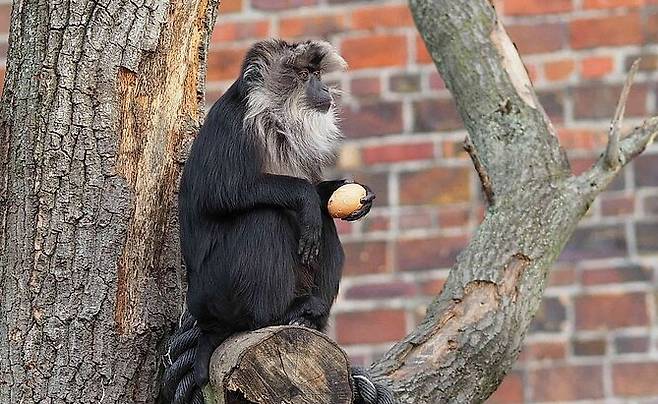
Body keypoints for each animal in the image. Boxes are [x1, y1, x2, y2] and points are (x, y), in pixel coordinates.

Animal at [177, 38, 374, 388]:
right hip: (214, 295)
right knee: (264, 218)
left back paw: (310, 313)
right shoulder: (233, 125)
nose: (324, 88)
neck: (274, 120)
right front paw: (304, 196)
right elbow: (220, 193)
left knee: (321, 222)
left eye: (316, 74)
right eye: (305, 75)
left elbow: (322, 199)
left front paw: (356, 194)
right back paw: (270, 317)